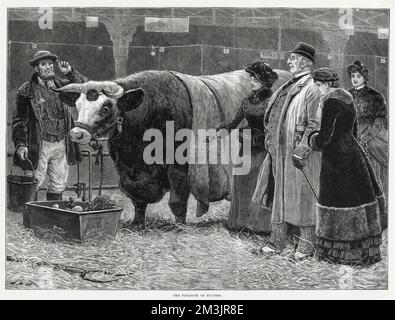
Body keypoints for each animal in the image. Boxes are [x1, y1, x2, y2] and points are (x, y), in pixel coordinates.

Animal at [55, 69, 290, 228]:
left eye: (106, 107)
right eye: (77, 105)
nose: (77, 133)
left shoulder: (179, 167)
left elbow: (177, 200)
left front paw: (179, 225)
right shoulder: (127, 169)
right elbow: (137, 200)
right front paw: (137, 222)